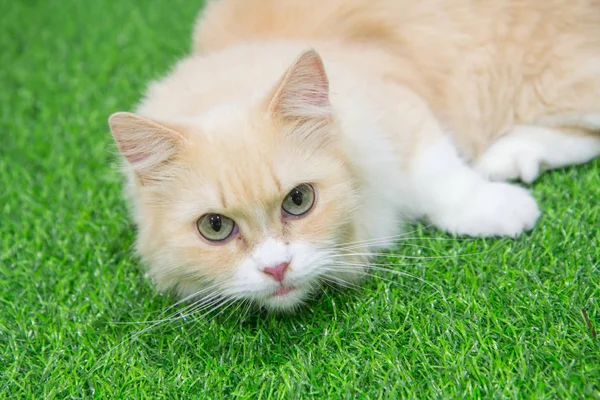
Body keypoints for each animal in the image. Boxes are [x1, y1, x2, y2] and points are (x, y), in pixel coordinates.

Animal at [108, 0, 600, 312]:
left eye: (299, 201)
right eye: (215, 227)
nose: (276, 268)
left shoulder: (402, 108)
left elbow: (441, 178)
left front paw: (506, 210)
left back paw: (505, 158)